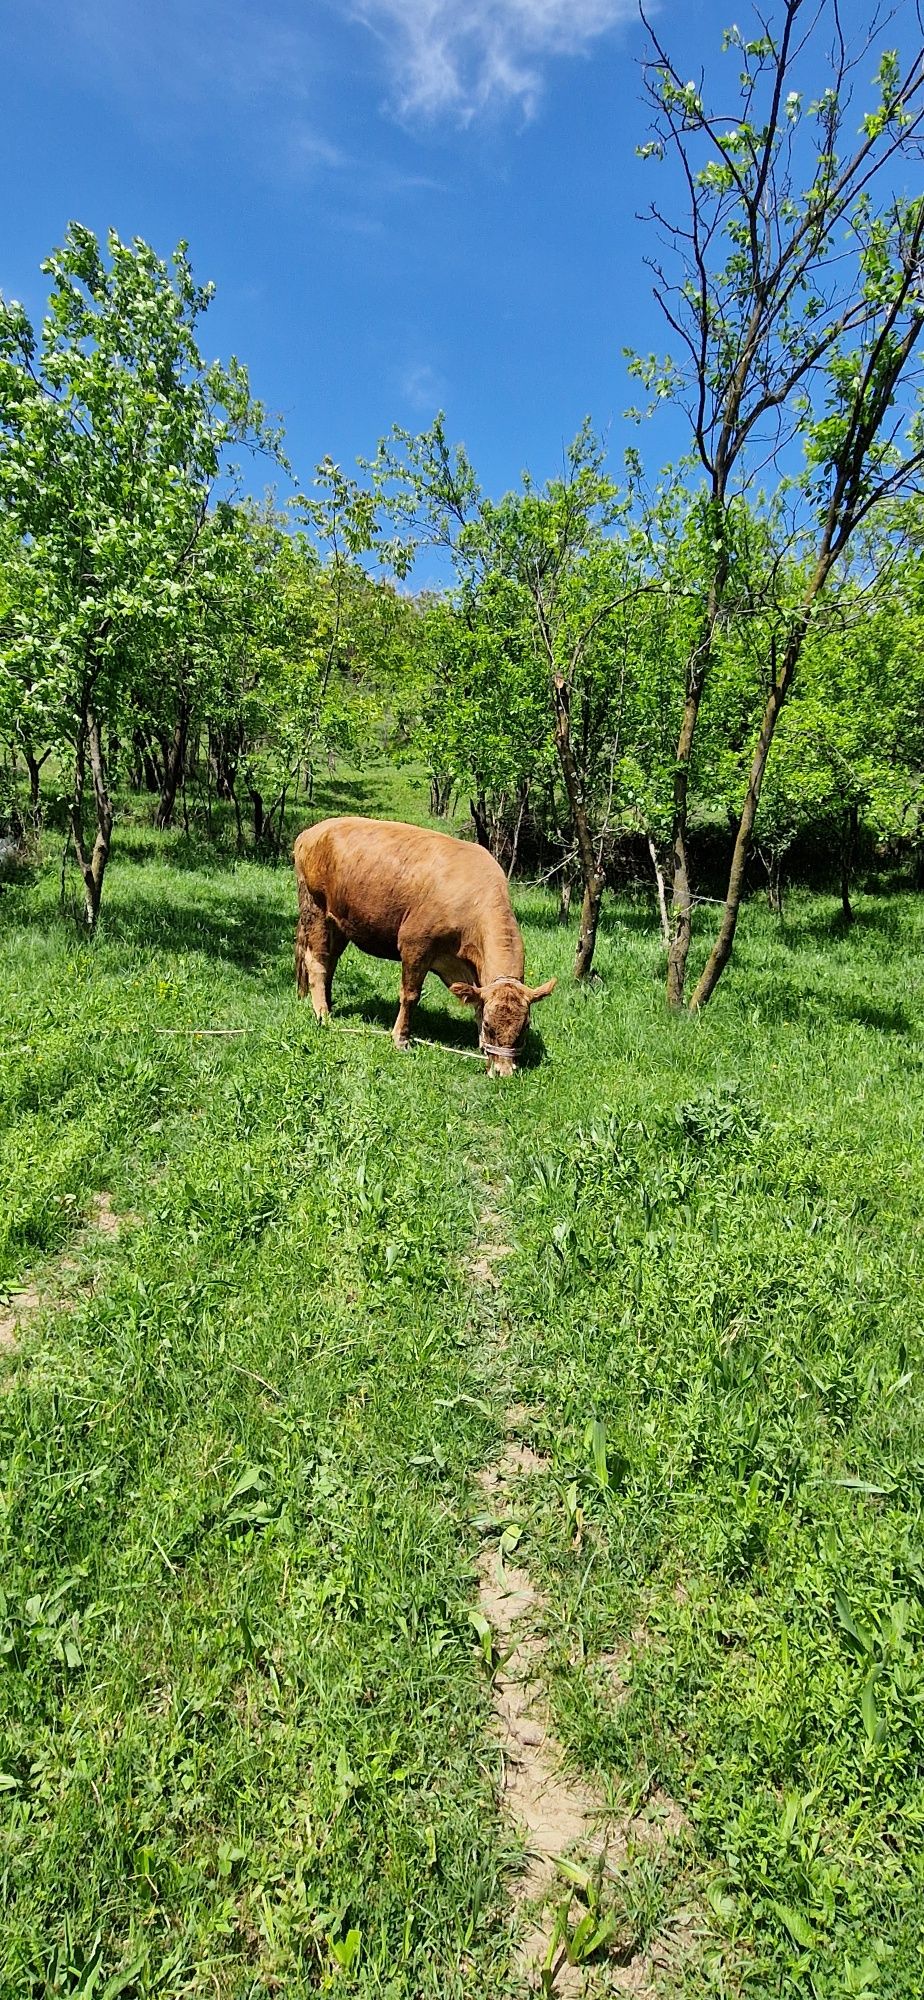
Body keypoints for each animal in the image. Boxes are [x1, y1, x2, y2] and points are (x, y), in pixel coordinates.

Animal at [296, 808, 556, 1072]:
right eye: (489, 1025)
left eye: (524, 1027)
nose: (504, 1071)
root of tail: (312, 831)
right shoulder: (415, 945)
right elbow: (410, 995)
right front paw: (401, 1039)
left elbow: (476, 1002)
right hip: (315, 907)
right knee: (316, 961)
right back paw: (322, 1013)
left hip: (340, 923)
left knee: (331, 960)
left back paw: (330, 1003)